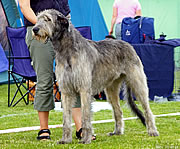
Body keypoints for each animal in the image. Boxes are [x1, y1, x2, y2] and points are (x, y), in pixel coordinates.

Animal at [32, 9, 159, 144]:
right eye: (38, 19)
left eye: (48, 19)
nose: (35, 29)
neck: (67, 50)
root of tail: (127, 44)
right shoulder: (66, 91)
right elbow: (66, 118)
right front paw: (65, 139)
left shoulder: (84, 90)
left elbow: (85, 116)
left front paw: (86, 138)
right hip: (111, 89)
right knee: (118, 110)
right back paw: (117, 131)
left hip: (137, 83)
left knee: (147, 109)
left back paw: (152, 131)